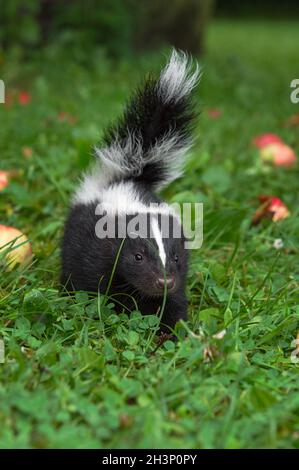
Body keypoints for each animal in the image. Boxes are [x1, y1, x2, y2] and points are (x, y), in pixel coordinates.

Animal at [61, 49, 200, 332]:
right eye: (137, 257)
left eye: (176, 257)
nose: (164, 281)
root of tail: (129, 178)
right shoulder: (94, 253)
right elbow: (91, 288)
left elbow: (173, 303)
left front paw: (173, 331)